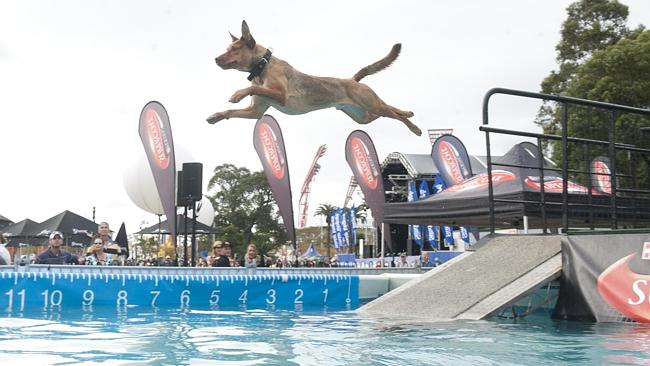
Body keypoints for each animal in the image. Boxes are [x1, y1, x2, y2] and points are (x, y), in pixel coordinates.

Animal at [205, 19, 422, 136]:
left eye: (233, 49)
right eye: (227, 48)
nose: (215, 59)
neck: (262, 66)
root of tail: (352, 80)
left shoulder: (281, 95)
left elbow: (252, 88)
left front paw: (237, 94)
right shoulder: (254, 112)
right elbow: (231, 112)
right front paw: (216, 116)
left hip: (370, 105)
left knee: (391, 112)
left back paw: (414, 127)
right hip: (364, 116)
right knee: (390, 109)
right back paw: (408, 113)